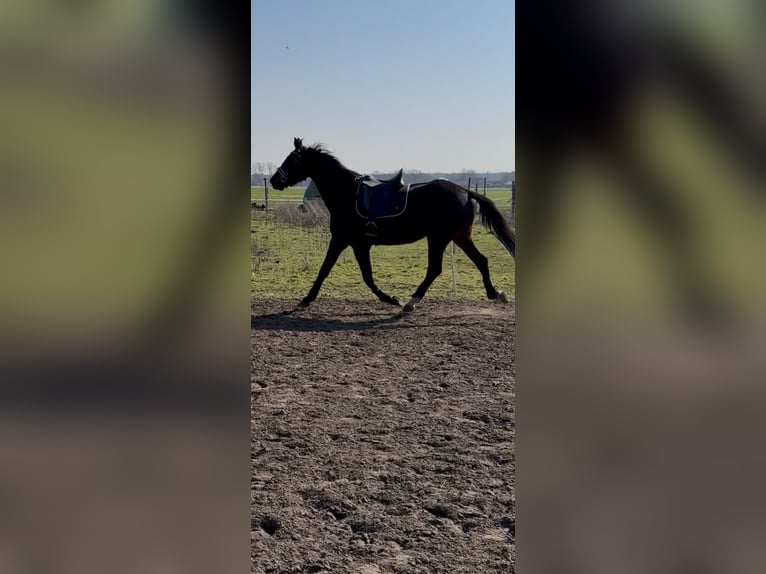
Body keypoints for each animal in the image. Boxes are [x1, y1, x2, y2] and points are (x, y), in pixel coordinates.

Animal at [269, 138, 515, 313]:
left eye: (292, 159)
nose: (274, 180)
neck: (347, 193)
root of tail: (464, 191)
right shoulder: (356, 244)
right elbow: (362, 275)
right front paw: (390, 299)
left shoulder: (345, 241)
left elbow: (331, 270)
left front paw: (305, 299)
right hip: (459, 236)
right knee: (480, 260)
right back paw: (495, 294)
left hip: (439, 237)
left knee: (435, 269)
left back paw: (411, 302)